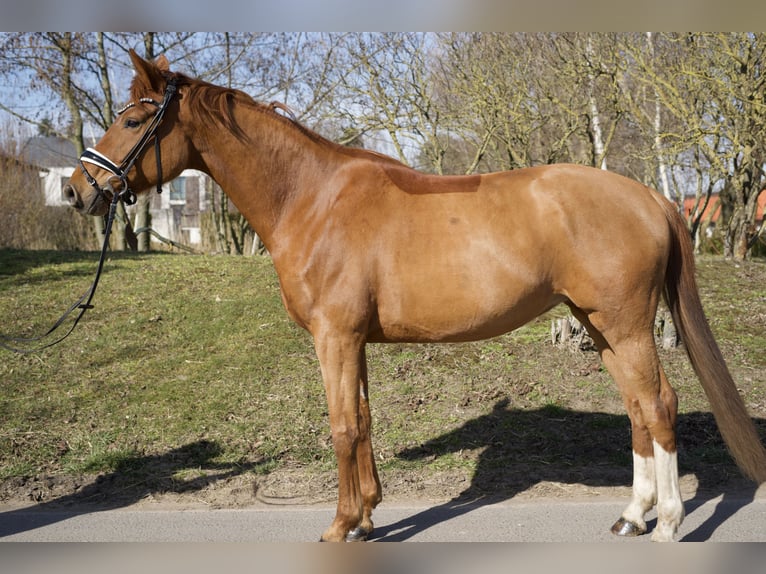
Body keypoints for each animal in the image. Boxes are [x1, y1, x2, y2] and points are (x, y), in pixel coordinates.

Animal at [64, 51, 766, 544]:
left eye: (133, 119)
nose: (76, 189)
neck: (311, 198)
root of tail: (650, 196)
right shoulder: (354, 341)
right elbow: (366, 419)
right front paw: (369, 517)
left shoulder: (334, 338)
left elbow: (343, 426)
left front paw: (339, 526)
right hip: (599, 326)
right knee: (638, 410)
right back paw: (632, 515)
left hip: (624, 325)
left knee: (660, 405)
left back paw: (669, 522)